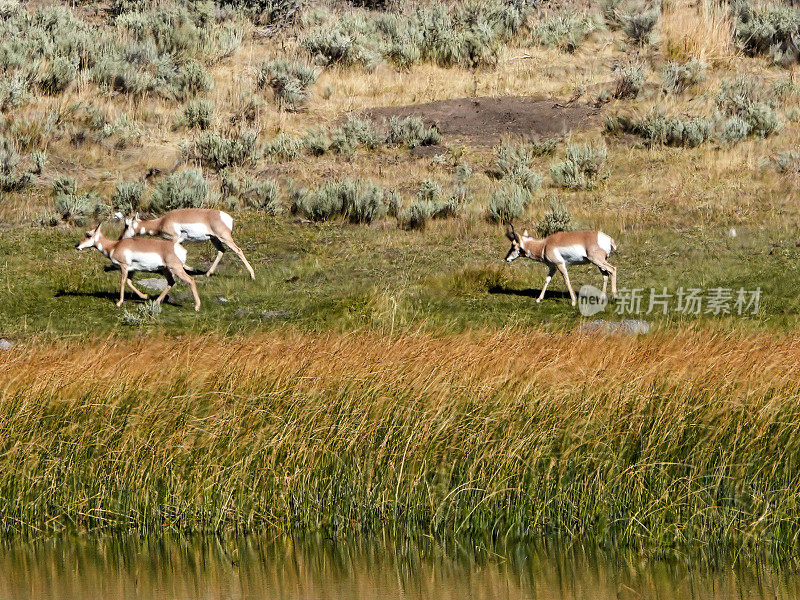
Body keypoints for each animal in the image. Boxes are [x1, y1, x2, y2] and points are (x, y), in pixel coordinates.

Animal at [119, 209, 255, 278]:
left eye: (126, 225)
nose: (121, 238)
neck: (162, 221)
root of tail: (227, 217)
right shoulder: (179, 241)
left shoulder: (175, 239)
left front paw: (190, 269)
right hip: (214, 239)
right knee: (221, 251)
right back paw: (208, 273)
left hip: (224, 238)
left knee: (238, 250)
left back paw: (252, 275)